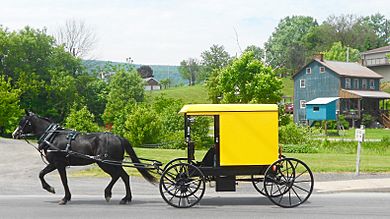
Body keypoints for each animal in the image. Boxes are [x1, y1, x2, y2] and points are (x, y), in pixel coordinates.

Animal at [12, 111, 158, 205]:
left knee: (119, 176)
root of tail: (118, 137)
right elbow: (42, 174)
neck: (52, 136)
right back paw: (125, 198)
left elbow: (61, 180)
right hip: (111, 163)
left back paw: (111, 194)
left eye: (23, 122)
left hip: (106, 163)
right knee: (124, 176)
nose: (14, 134)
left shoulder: (58, 164)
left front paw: (61, 196)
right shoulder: (56, 164)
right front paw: (54, 191)